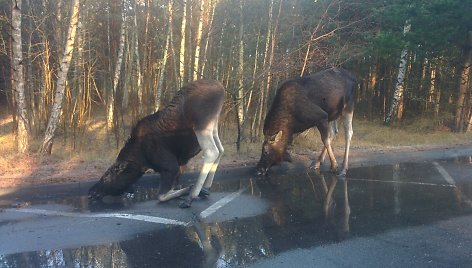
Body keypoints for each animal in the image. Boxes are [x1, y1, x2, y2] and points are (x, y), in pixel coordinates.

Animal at [90, 78, 227, 208]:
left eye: (107, 176)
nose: (92, 192)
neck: (142, 160)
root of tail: (222, 89)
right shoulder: (179, 166)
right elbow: (174, 188)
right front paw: (188, 190)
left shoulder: (170, 167)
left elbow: (161, 196)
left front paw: (189, 190)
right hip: (213, 126)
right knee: (220, 149)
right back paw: (206, 188)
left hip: (201, 126)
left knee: (211, 152)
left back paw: (191, 198)